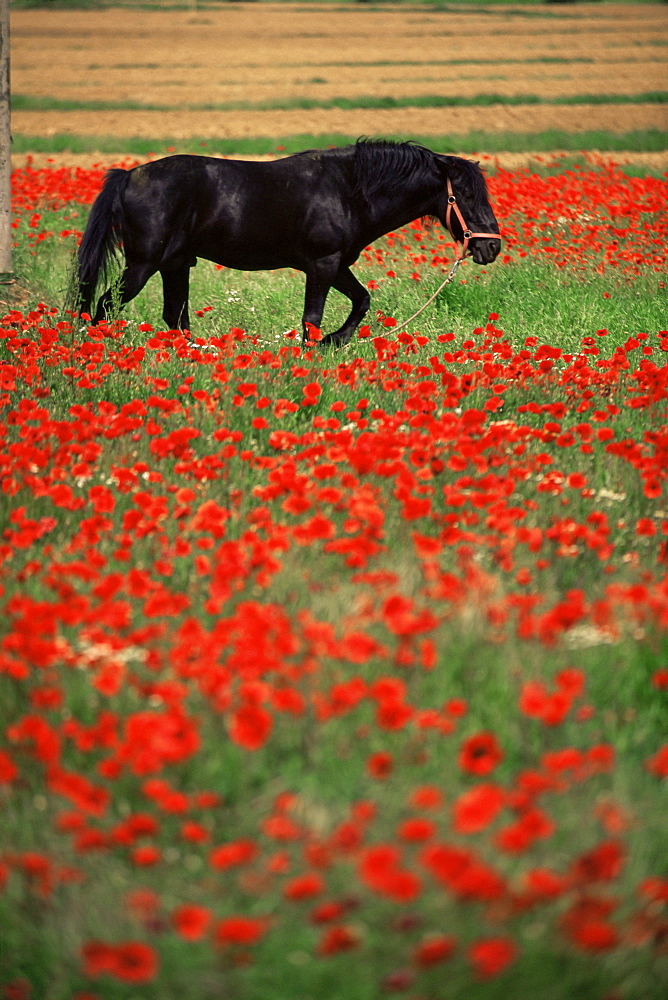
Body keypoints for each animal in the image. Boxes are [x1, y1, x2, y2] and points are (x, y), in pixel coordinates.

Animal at [74, 138, 500, 348]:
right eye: (465, 195)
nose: (492, 247)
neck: (349, 189)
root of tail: (129, 175)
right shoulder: (323, 264)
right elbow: (311, 319)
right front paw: (319, 347)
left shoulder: (336, 264)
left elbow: (362, 300)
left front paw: (335, 342)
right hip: (143, 264)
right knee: (104, 306)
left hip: (175, 264)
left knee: (175, 318)